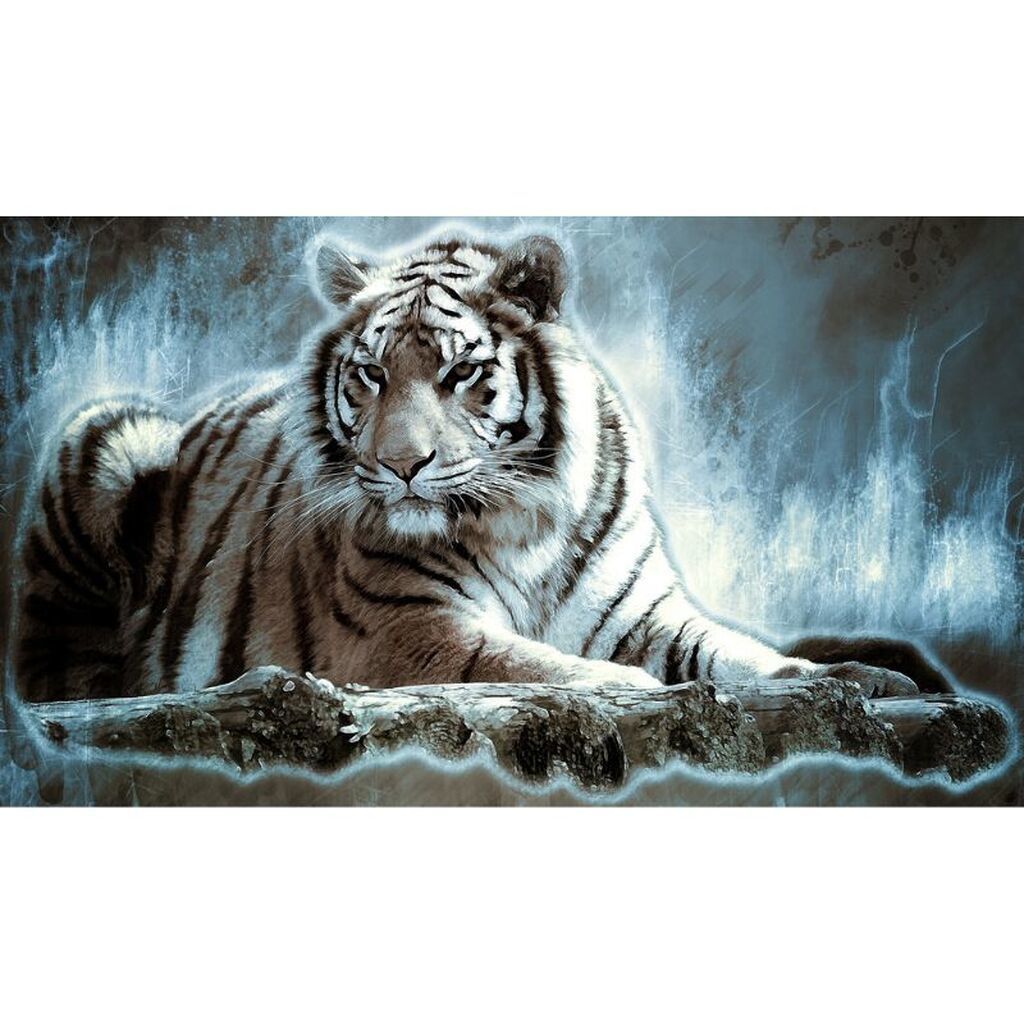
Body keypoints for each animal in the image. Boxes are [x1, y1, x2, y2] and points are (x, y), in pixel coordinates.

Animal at [14, 233, 924, 705]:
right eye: (371, 374)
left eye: (460, 373)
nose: (400, 465)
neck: (530, 524)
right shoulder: (410, 631)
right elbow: (540, 666)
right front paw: (633, 690)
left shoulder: (646, 615)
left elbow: (740, 655)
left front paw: (856, 676)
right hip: (110, 432)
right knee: (50, 671)